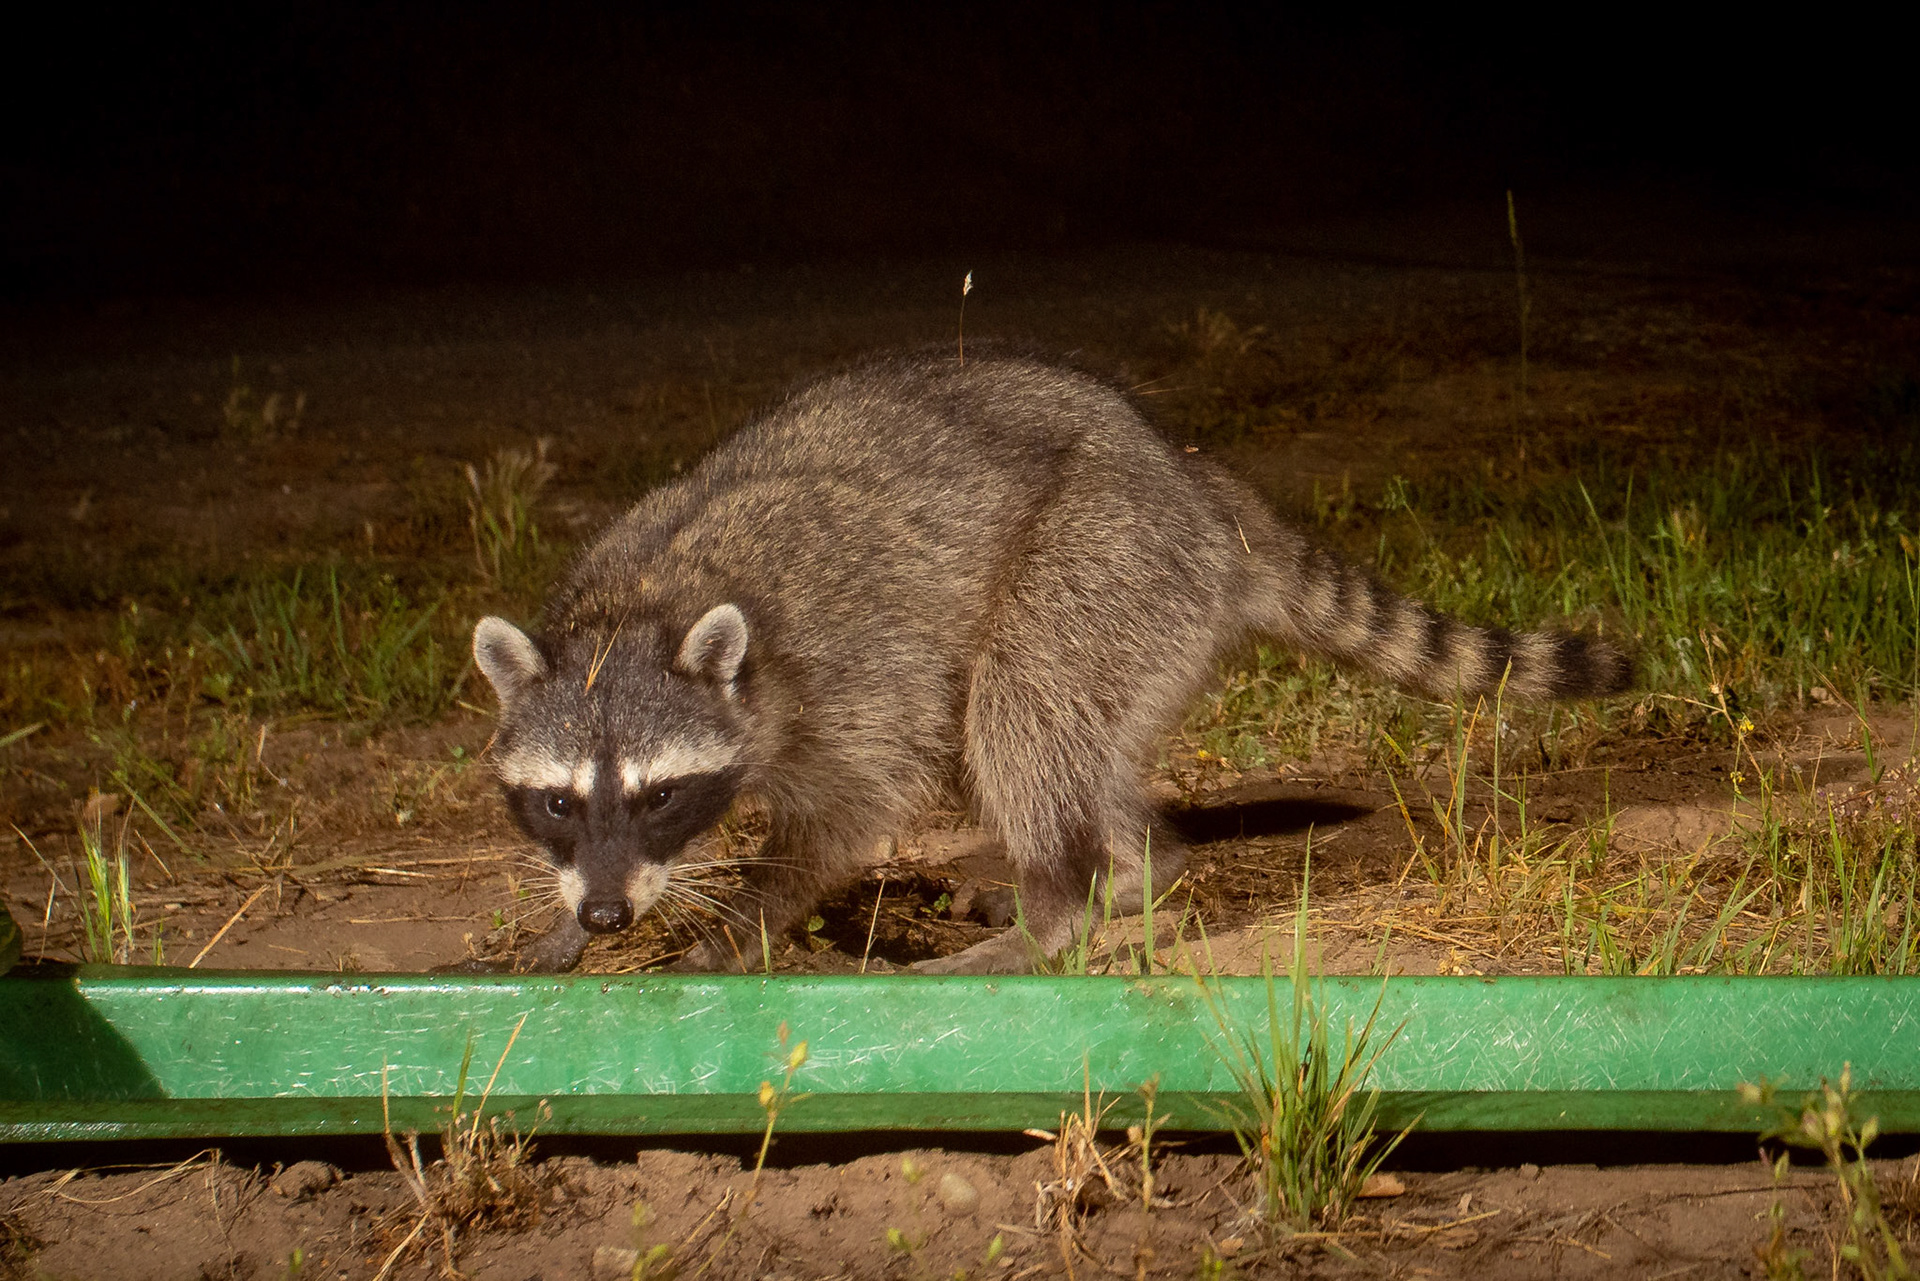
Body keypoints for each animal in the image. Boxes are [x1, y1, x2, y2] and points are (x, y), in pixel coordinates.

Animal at [470, 352, 1631, 975]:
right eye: (560, 802)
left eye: (661, 794)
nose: (607, 915)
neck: (641, 605)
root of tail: (1201, 488)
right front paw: (566, 924)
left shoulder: (846, 665)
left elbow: (854, 806)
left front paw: (743, 919)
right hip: (1137, 605)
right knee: (1070, 738)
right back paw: (1133, 873)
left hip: (1103, 552)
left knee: (1017, 706)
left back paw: (1062, 906)